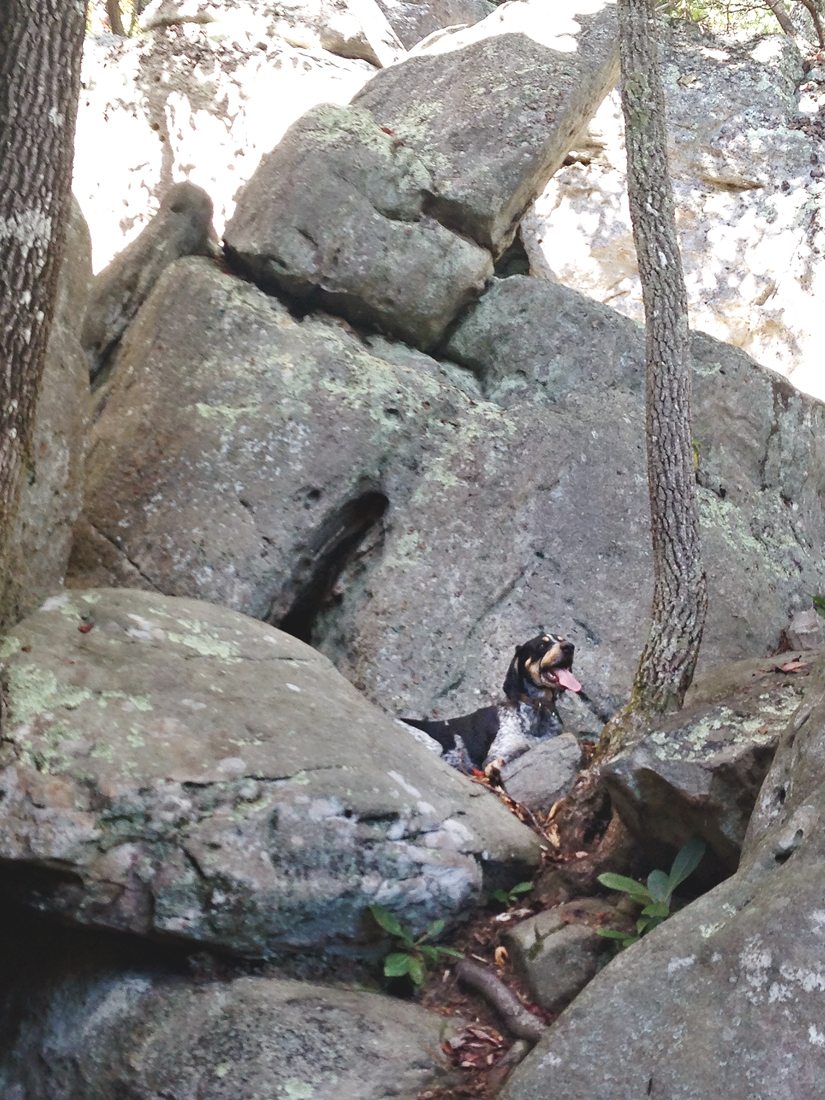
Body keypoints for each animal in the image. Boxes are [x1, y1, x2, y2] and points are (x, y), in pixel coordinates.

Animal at [404, 633, 585, 778]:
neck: (538, 708)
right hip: (434, 744)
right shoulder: (498, 752)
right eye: (542, 645)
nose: (569, 646)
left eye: (562, 639)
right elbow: (507, 755)